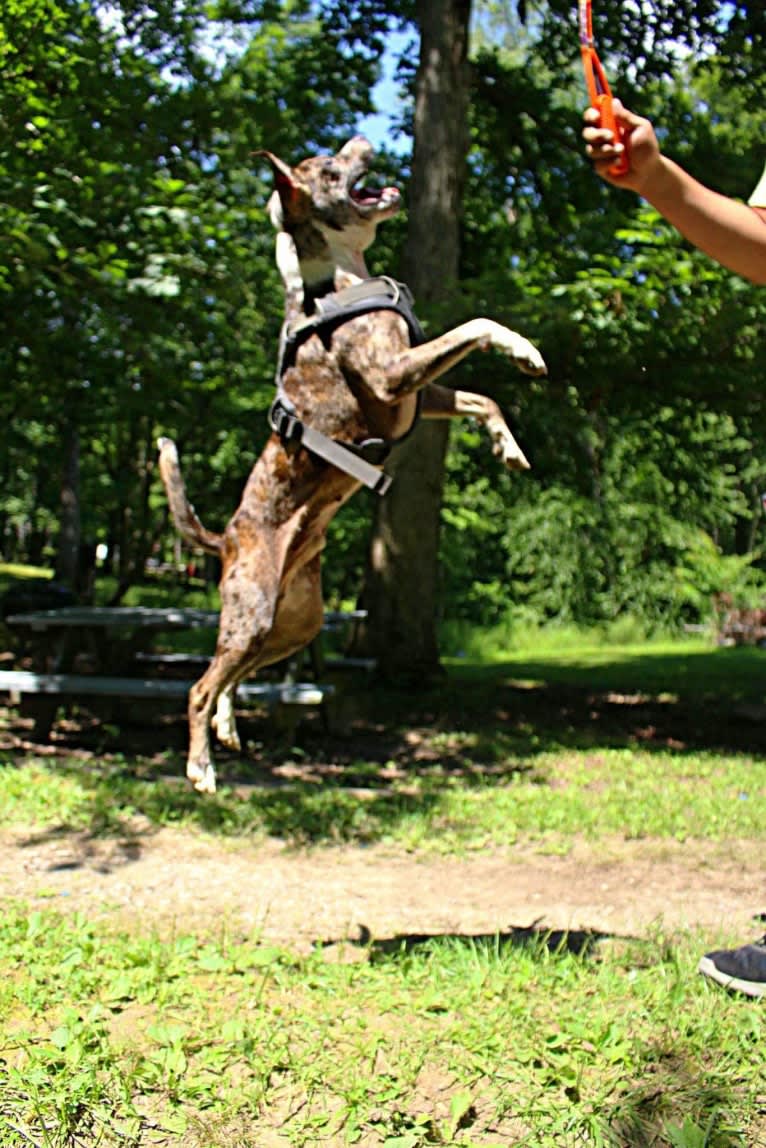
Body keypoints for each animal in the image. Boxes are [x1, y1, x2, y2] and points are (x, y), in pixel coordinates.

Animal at [157, 136, 544, 799]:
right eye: (331, 168)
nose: (364, 141)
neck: (340, 277)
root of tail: (224, 539)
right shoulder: (393, 376)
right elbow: (478, 324)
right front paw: (524, 348)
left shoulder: (419, 394)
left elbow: (481, 398)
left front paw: (508, 445)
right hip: (253, 611)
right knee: (199, 686)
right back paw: (200, 767)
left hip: (294, 623)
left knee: (231, 676)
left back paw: (228, 725)